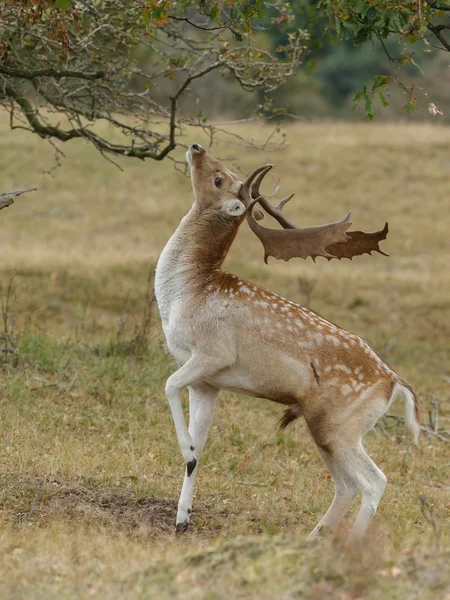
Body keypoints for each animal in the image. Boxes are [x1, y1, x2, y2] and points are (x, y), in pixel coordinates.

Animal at [156, 144, 420, 544]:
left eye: (219, 178)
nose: (196, 147)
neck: (186, 292)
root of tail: (394, 382)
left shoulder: (213, 353)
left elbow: (169, 384)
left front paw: (184, 453)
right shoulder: (207, 383)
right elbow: (199, 448)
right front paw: (181, 518)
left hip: (339, 426)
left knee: (373, 481)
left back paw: (347, 546)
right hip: (328, 428)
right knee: (346, 485)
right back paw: (311, 540)